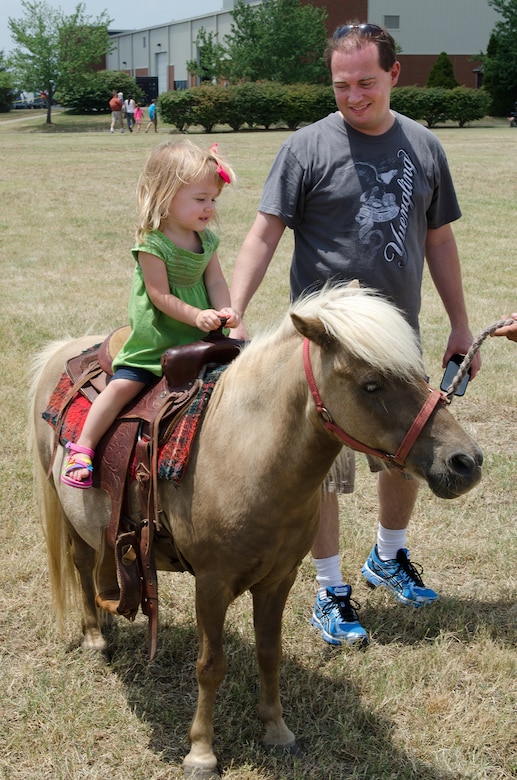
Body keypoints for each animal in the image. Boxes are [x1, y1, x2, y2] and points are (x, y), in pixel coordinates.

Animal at [28, 286, 482, 780]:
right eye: (371, 385)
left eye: (422, 374)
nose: (466, 461)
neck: (244, 450)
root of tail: (68, 349)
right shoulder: (212, 584)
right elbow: (211, 664)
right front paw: (201, 752)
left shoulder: (278, 580)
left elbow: (270, 652)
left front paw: (277, 730)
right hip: (70, 515)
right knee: (81, 564)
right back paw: (95, 637)